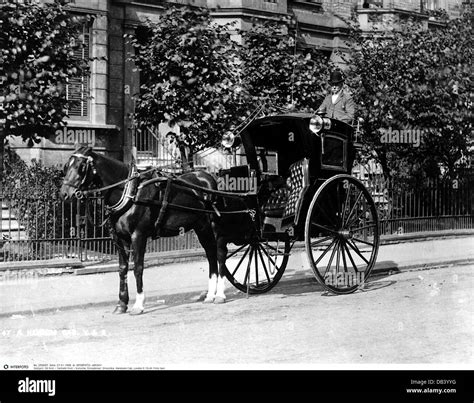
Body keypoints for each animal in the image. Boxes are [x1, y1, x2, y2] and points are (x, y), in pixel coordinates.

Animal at [60, 148, 228, 316]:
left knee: (219, 254)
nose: (64, 193)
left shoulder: (138, 236)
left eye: (81, 166)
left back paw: (219, 295)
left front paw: (138, 304)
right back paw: (210, 295)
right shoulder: (120, 238)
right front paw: (121, 304)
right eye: (67, 166)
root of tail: (207, 177)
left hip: (213, 227)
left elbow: (138, 268)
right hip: (200, 227)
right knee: (211, 254)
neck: (131, 192)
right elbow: (122, 269)